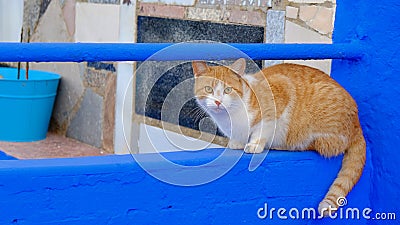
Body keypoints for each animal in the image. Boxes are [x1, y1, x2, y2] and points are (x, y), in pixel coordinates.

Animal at [194, 58, 366, 216]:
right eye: (208, 89)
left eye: (228, 90)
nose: (218, 102)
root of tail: (357, 124)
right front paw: (236, 142)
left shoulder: (281, 92)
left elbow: (263, 129)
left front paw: (255, 144)